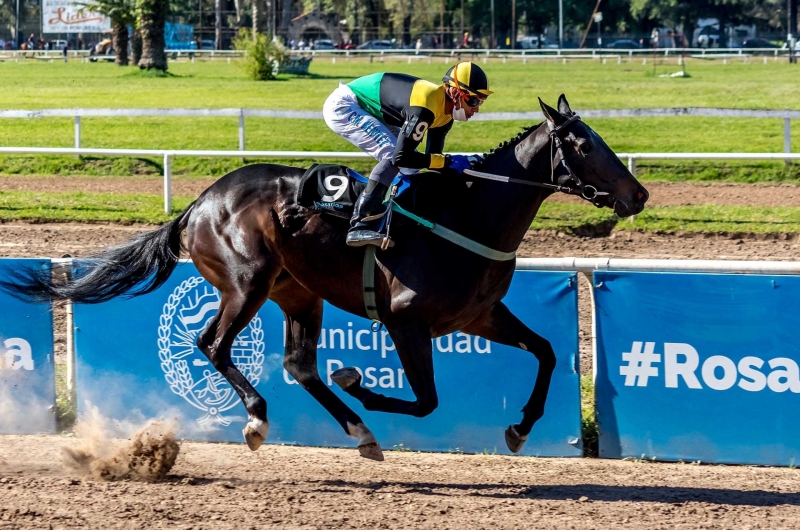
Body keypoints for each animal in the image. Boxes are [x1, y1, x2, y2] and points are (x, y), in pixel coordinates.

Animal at [3, 95, 648, 458]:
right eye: (580, 143)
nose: (639, 194)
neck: (466, 215)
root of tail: (198, 203)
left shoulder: (478, 315)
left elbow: (546, 351)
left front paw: (520, 429)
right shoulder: (406, 320)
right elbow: (426, 401)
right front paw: (357, 378)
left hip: (298, 293)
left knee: (298, 364)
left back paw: (358, 432)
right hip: (246, 282)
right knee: (212, 344)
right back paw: (259, 417)